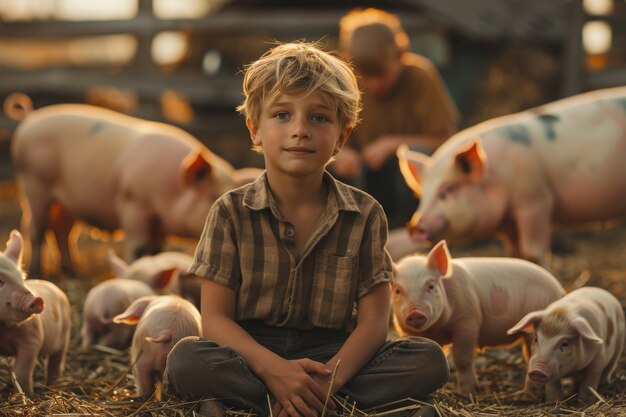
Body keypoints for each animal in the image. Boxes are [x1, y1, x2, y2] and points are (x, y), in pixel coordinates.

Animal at [0, 229, 70, 394]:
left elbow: (22, 371)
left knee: (56, 358)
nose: (37, 299)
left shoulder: (33, 338)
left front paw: (28, 394)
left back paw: (53, 382)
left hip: (66, 334)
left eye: (23, 277)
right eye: (0, 282)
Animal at [11, 102, 243, 274]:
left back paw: (72, 271)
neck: (171, 190)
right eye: (211, 196)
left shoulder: (159, 223)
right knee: (35, 227)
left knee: (62, 230)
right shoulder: (133, 203)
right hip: (34, 181)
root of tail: (30, 117)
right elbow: (139, 248)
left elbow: (157, 250)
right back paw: (37, 272)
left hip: (66, 199)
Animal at [392, 240, 564, 394]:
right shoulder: (408, 331)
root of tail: (559, 289)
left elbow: (462, 358)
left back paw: (527, 393)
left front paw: (465, 393)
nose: (415, 313)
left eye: (431, 286)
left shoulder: (468, 320)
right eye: (397, 290)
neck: (437, 329)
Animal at [398, 86, 624, 264]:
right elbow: (515, 254)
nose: (413, 226)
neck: (498, 177)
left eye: (449, 189)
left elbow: (532, 252)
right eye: (421, 195)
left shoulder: (536, 200)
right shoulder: (508, 224)